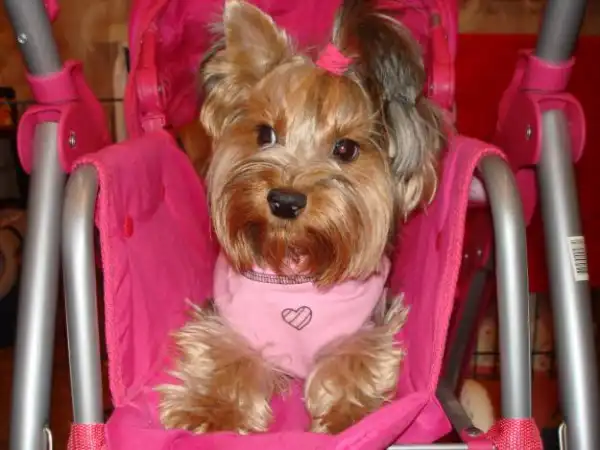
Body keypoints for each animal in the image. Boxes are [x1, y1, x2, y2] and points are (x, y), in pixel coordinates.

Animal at [157, 0, 446, 435]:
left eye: (346, 148)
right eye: (265, 134)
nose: (285, 201)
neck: (296, 260)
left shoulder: (366, 326)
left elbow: (355, 356)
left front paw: (347, 416)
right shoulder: (230, 321)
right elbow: (224, 353)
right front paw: (211, 409)